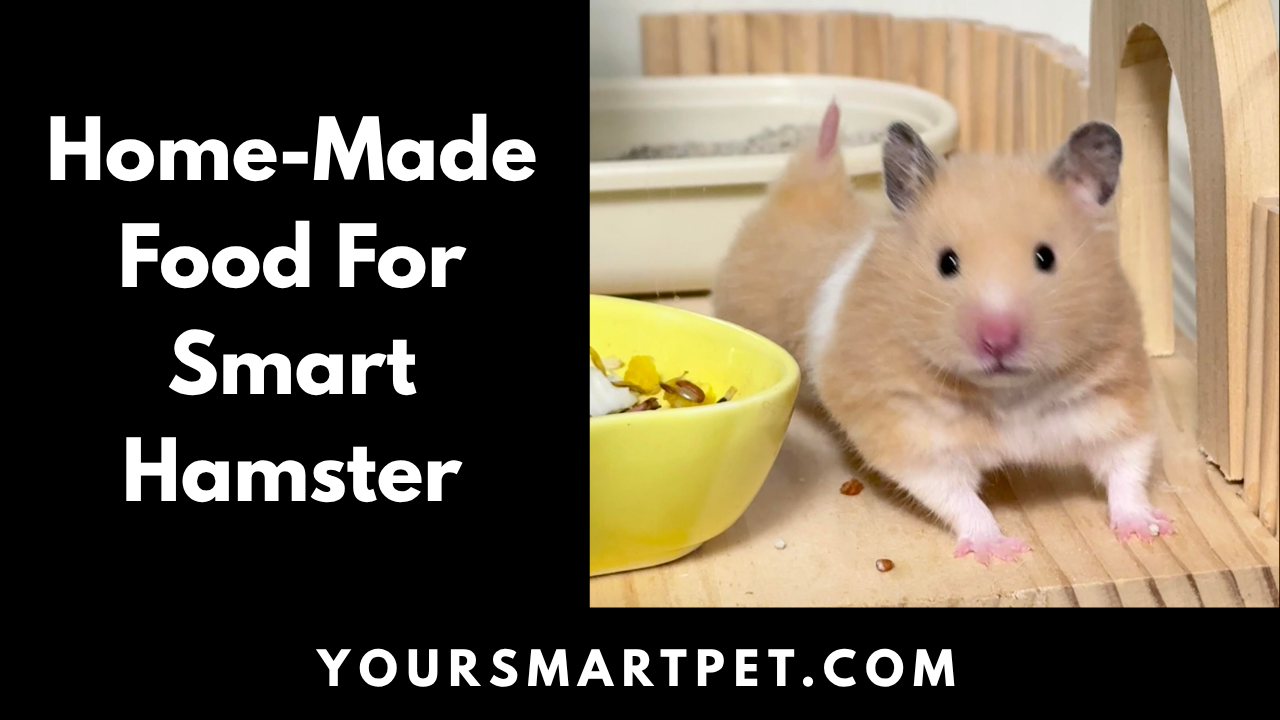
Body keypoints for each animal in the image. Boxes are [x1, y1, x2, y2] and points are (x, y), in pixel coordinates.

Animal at [713, 102, 1171, 565]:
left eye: (1046, 257)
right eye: (946, 263)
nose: (997, 340)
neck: (1009, 395)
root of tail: (805, 191)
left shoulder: (1117, 399)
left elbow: (1127, 466)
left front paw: (1147, 530)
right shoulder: (909, 430)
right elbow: (959, 498)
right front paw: (1001, 552)